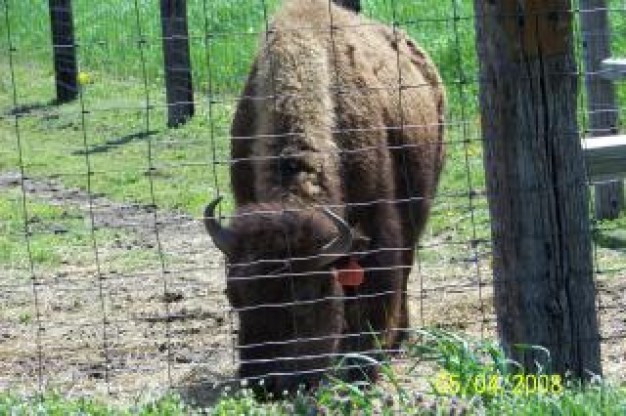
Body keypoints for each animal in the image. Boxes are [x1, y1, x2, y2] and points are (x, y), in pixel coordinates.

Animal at [202, 0, 442, 396]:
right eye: (233, 295)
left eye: (305, 297)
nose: (266, 385)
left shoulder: (376, 227)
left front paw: (363, 367)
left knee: (405, 269)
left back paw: (397, 339)